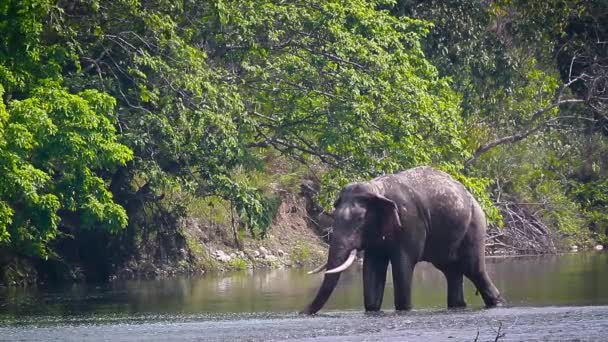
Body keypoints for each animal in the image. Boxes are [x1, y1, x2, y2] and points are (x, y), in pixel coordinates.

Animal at [300, 167, 504, 314]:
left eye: (359, 219)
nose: (301, 312)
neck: (376, 189)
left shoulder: (410, 222)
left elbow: (403, 264)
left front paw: (404, 310)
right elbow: (372, 267)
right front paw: (372, 310)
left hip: (474, 226)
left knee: (474, 269)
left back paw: (497, 303)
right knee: (452, 271)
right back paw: (459, 305)